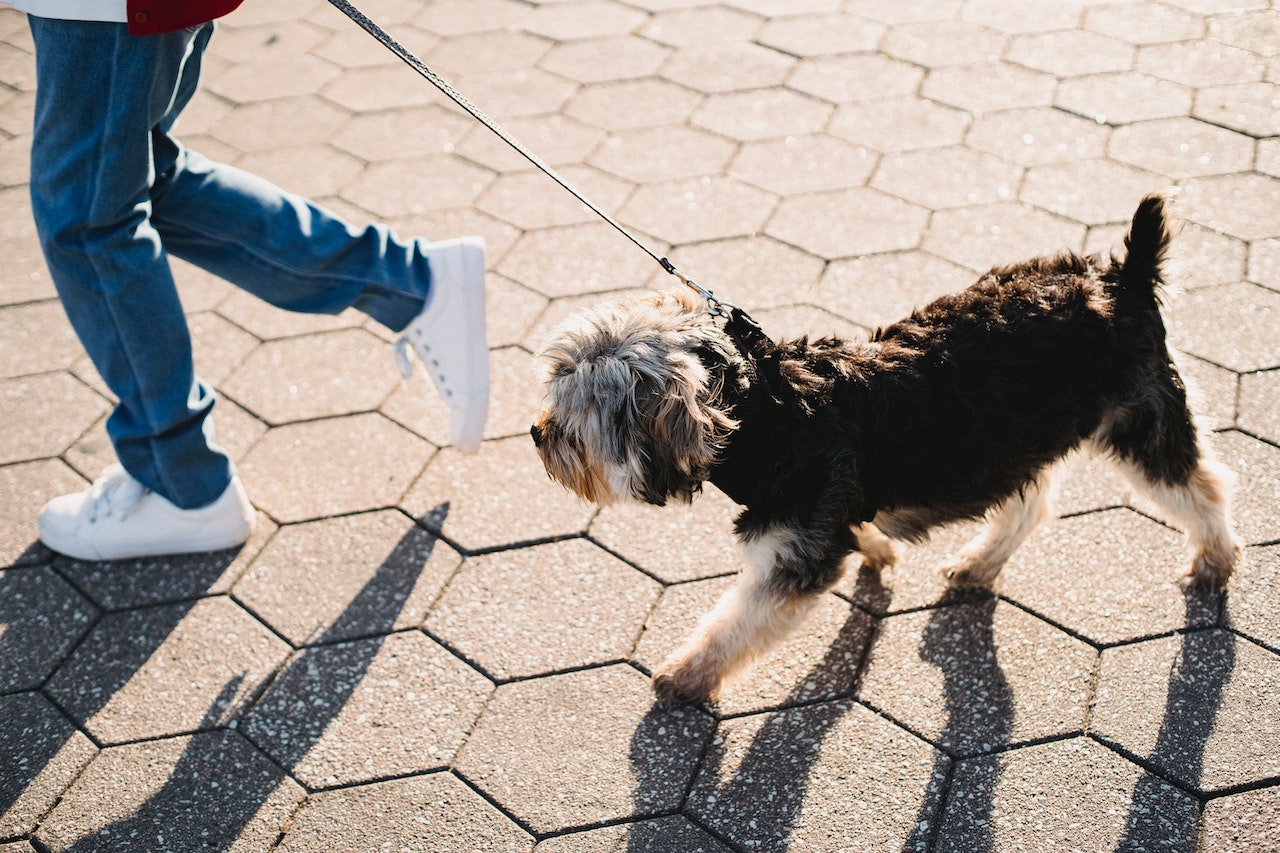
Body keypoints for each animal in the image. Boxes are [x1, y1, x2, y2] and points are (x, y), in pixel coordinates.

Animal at [527, 194, 1239, 701]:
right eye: (555, 387)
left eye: (578, 419)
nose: (537, 434)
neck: (768, 417)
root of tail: (1124, 275)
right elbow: (856, 533)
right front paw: (876, 547)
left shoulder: (794, 558)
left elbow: (736, 623)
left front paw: (686, 675)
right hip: (1014, 437)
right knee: (1030, 501)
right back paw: (980, 561)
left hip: (1139, 420)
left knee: (1200, 483)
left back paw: (1215, 560)